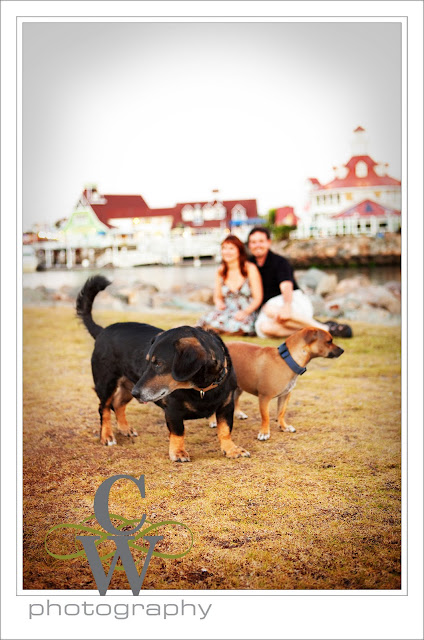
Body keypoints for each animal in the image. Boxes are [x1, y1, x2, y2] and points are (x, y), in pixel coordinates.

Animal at [76, 276, 250, 460]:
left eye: (158, 363)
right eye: (149, 361)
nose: (137, 393)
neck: (201, 388)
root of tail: (102, 331)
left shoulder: (226, 406)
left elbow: (225, 430)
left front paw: (231, 449)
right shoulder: (172, 411)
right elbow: (178, 432)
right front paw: (178, 452)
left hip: (128, 386)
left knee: (118, 404)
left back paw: (125, 428)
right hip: (107, 383)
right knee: (104, 408)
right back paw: (107, 436)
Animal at [210, 330, 342, 440]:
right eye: (329, 341)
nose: (342, 350)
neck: (287, 360)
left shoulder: (285, 396)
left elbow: (281, 412)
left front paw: (284, 427)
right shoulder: (264, 398)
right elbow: (266, 417)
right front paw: (264, 432)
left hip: (239, 384)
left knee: (236, 398)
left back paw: (238, 413)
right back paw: (213, 421)